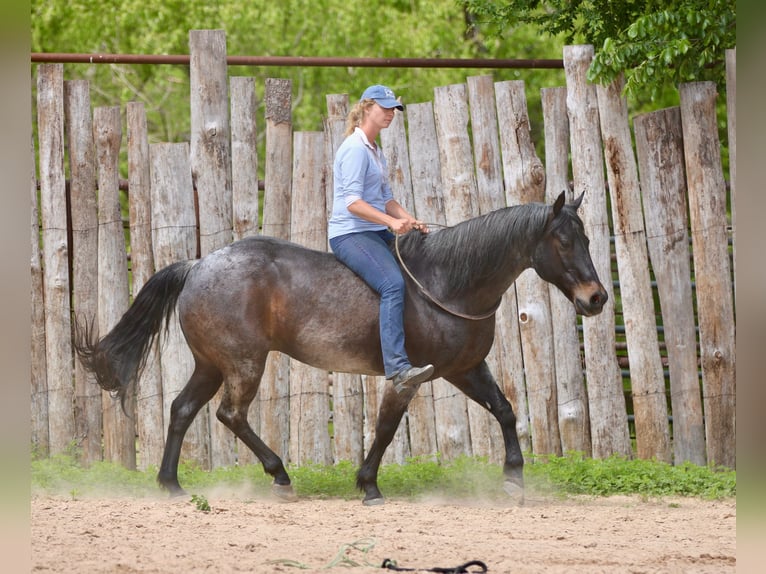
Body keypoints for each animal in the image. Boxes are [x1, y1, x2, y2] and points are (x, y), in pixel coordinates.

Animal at [75, 190, 607, 505]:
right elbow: (387, 429)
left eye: (585, 237)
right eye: (563, 240)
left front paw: (514, 477)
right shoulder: (408, 377)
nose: (596, 298)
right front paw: (368, 484)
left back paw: (171, 484)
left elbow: (505, 410)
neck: (449, 283)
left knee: (183, 409)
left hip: (212, 364)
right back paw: (279, 474)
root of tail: (198, 264)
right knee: (230, 414)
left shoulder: (465, 368)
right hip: (244, 363)